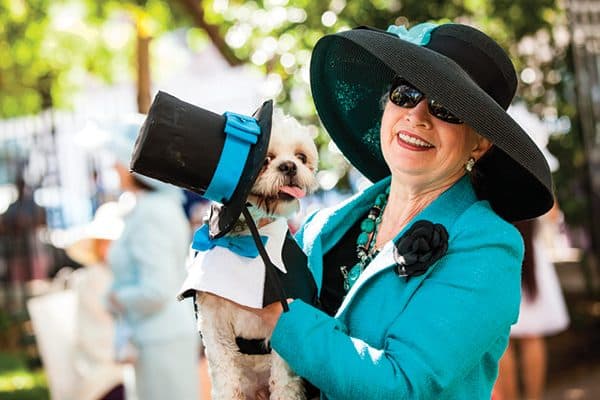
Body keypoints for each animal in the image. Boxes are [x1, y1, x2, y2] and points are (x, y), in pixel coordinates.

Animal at [196, 109, 318, 400]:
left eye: (301, 157)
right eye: (266, 159)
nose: (290, 166)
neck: (247, 238)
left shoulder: (283, 320)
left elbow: (284, 379)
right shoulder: (214, 323)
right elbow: (225, 376)